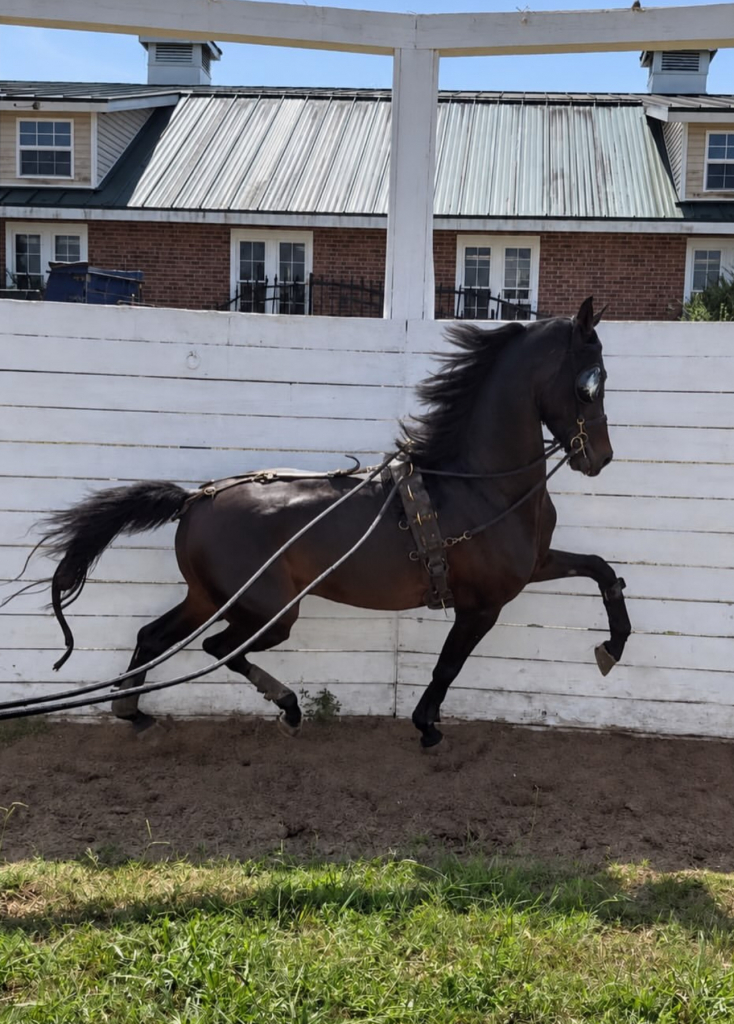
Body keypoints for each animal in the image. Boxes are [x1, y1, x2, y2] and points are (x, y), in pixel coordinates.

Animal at [39, 296, 630, 748]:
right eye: (592, 381)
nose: (600, 457)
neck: (477, 485)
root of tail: (196, 500)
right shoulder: (481, 604)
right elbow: (448, 664)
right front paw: (426, 724)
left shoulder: (534, 565)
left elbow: (601, 569)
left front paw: (614, 646)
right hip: (269, 611)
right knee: (217, 649)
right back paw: (286, 705)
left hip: (212, 597)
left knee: (155, 635)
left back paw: (134, 711)